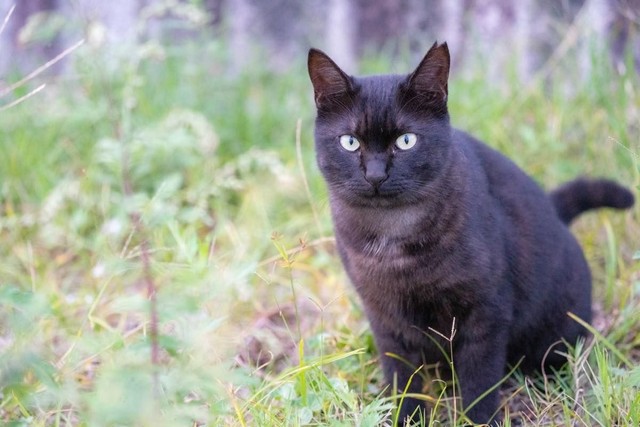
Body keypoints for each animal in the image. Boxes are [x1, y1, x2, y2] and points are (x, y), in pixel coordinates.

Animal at [308, 41, 632, 426]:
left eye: (406, 141)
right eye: (350, 142)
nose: (375, 175)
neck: (394, 238)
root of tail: (554, 210)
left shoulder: (485, 313)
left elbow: (479, 384)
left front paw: (479, 420)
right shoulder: (385, 318)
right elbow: (402, 379)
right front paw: (407, 418)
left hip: (554, 336)